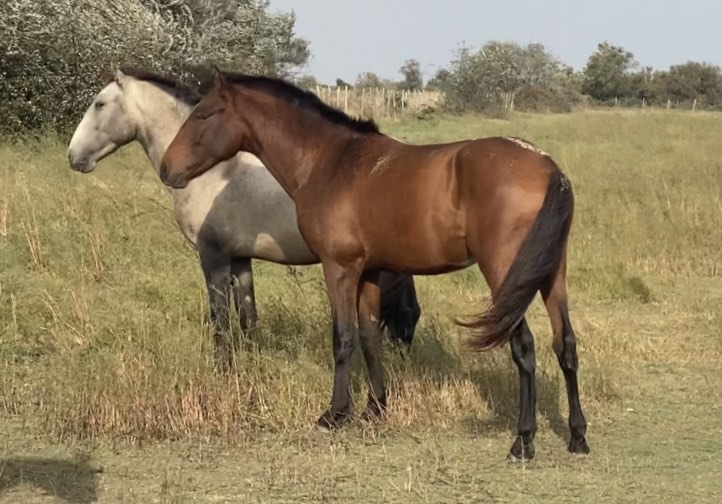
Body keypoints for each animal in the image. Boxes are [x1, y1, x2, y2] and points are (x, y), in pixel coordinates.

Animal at [64, 67, 420, 368]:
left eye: (99, 104)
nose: (73, 156)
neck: (213, 170)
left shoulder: (213, 257)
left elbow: (220, 318)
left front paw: (223, 369)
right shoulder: (240, 260)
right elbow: (248, 317)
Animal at [158, 68, 584, 460]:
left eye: (203, 114)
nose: (167, 169)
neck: (330, 161)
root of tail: (548, 168)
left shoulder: (340, 268)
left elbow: (343, 338)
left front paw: (334, 414)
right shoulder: (372, 273)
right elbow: (369, 338)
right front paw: (375, 408)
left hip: (506, 277)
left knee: (524, 347)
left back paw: (523, 441)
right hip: (551, 275)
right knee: (565, 344)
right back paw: (577, 436)